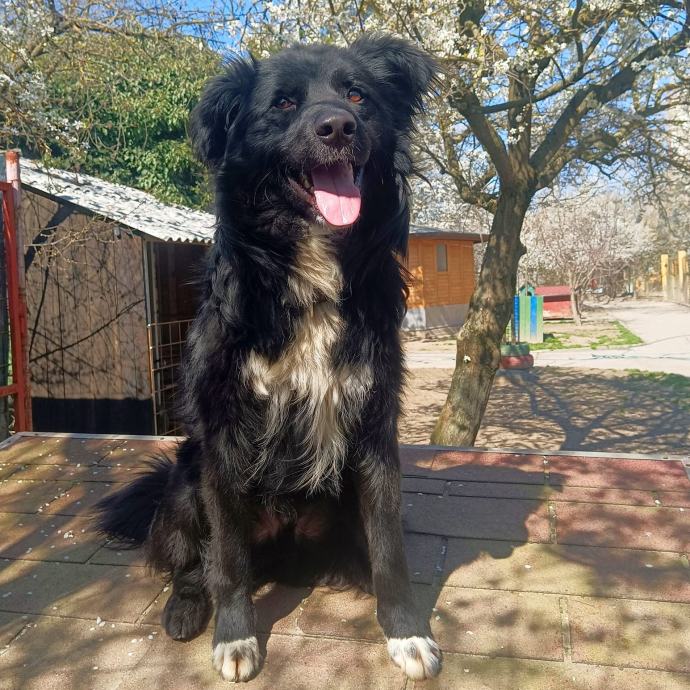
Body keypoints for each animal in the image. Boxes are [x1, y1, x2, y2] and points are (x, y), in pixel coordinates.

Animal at [96, 34, 441, 682]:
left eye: (358, 94)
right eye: (283, 104)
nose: (339, 126)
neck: (309, 266)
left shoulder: (374, 420)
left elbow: (391, 547)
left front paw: (407, 632)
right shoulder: (225, 429)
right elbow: (226, 559)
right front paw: (235, 638)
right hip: (186, 481)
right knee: (194, 561)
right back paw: (187, 607)